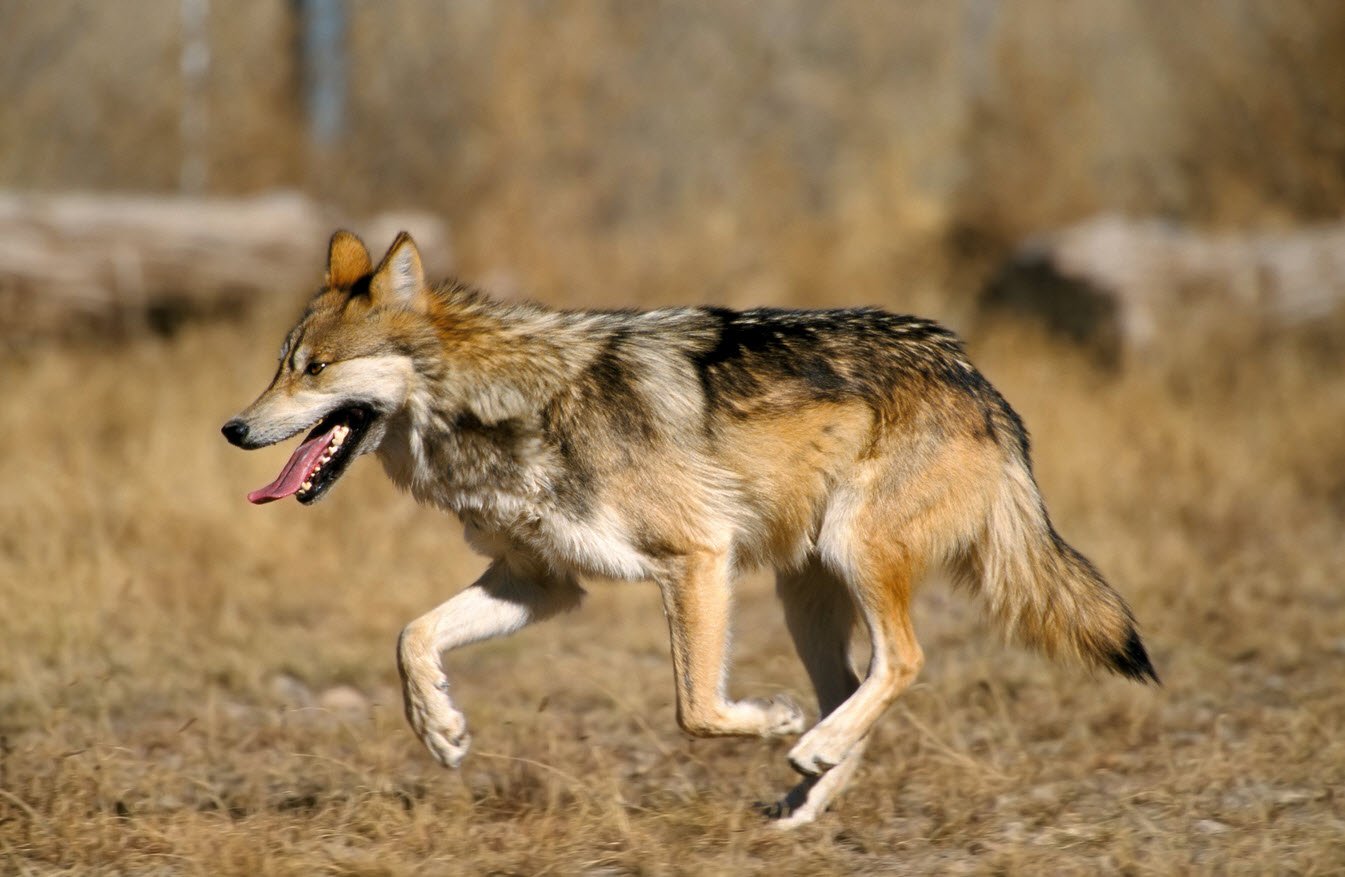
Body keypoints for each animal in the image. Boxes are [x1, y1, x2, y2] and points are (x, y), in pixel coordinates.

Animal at [220, 230, 1156, 823]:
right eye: (279, 366)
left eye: (315, 369)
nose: (232, 428)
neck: (502, 405)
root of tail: (976, 378)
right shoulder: (540, 583)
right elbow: (411, 636)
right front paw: (440, 730)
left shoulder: (695, 558)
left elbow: (696, 709)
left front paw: (769, 720)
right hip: (803, 594)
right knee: (855, 686)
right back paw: (804, 796)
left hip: (849, 555)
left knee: (902, 662)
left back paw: (805, 747)